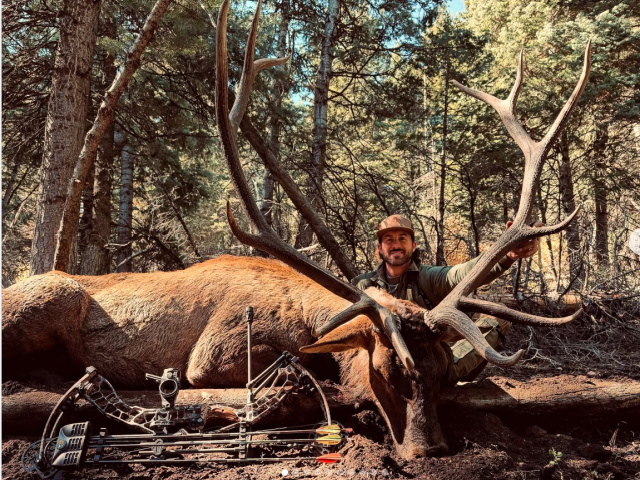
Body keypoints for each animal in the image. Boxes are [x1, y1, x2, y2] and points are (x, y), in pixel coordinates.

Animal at [2, 0, 590, 459]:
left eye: (444, 373)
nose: (432, 450)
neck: (306, 315)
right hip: (42, 299)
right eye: (388, 372)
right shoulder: (208, 358)